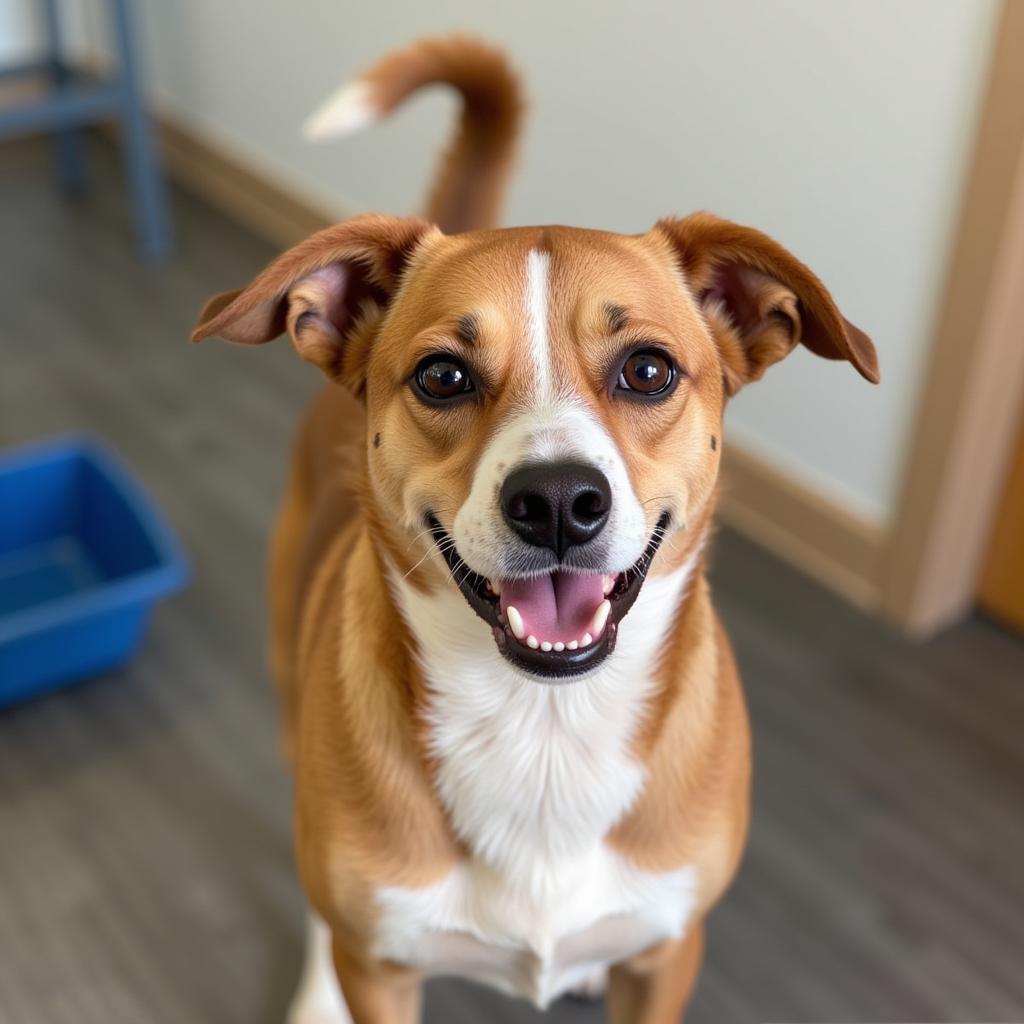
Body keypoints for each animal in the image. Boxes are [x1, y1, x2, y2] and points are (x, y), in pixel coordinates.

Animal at [193, 36, 880, 1019]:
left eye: (648, 369)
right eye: (443, 376)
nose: (557, 499)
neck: (544, 729)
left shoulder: (670, 952)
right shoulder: (385, 968)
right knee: (329, 917)